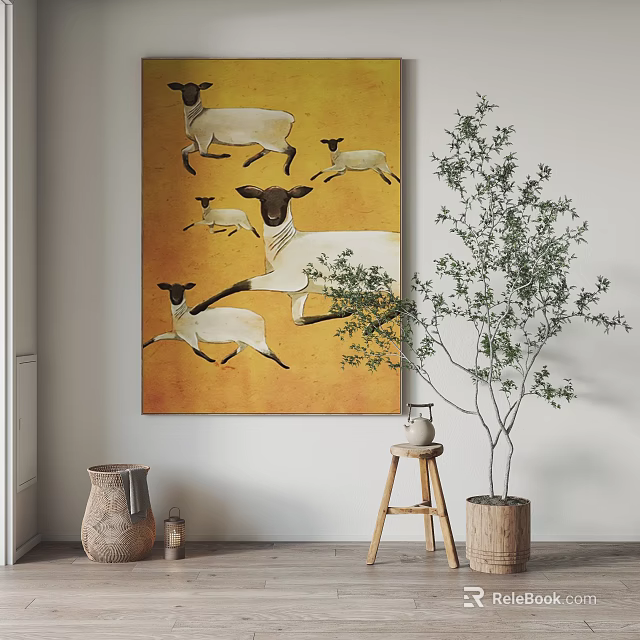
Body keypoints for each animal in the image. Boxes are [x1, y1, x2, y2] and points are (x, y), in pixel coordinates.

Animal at [143, 282, 289, 369]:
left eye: (183, 289)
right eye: (170, 289)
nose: (176, 299)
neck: (181, 314)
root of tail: (261, 319)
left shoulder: (190, 336)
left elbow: (196, 351)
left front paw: (212, 361)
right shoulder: (178, 335)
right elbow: (155, 338)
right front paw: (143, 346)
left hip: (256, 340)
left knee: (269, 353)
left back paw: (285, 367)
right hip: (243, 339)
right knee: (242, 348)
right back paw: (224, 360)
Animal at [168, 82, 296, 176]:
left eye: (197, 90)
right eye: (183, 90)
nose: (190, 101)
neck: (196, 115)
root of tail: (290, 118)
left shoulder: (204, 138)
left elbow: (203, 153)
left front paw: (225, 155)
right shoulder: (196, 141)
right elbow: (184, 151)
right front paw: (191, 171)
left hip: (274, 140)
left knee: (291, 150)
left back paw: (286, 170)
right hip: (271, 141)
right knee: (267, 150)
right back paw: (247, 163)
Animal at [189, 185, 400, 326]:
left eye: (285, 199)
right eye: (262, 199)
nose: (273, 218)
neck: (283, 246)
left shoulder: (290, 278)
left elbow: (241, 284)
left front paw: (196, 309)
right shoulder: (299, 292)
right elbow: (299, 320)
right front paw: (347, 311)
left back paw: (370, 327)